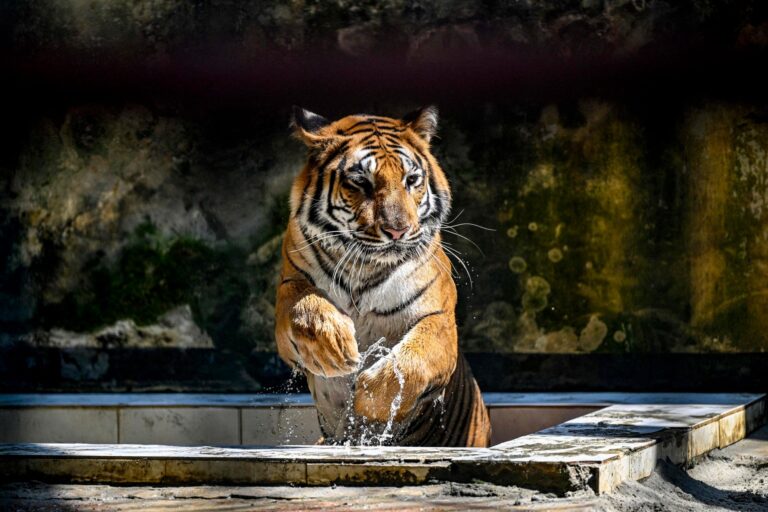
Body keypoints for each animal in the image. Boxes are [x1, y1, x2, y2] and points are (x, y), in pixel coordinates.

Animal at [274, 105, 491, 447]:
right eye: (361, 182)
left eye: (411, 180)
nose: (398, 230)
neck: (363, 266)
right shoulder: (290, 285)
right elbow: (302, 307)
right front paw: (335, 348)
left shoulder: (439, 319)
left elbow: (413, 360)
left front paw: (366, 400)